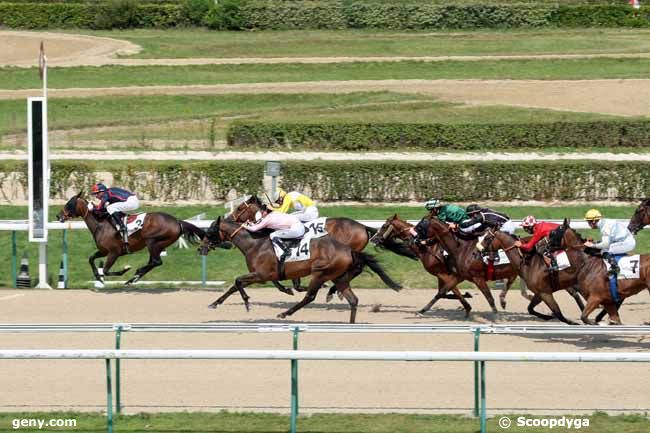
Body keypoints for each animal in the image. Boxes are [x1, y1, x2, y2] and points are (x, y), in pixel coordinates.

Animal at [60, 191, 205, 286]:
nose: (58, 216)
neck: (100, 224)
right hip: (158, 245)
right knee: (154, 262)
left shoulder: (114, 252)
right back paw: (134, 277)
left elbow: (106, 270)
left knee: (156, 261)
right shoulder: (104, 251)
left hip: (152, 242)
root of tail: (177, 221)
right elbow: (91, 259)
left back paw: (135, 274)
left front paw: (125, 269)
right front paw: (98, 277)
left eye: (69, 203)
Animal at [200, 216, 378, 320]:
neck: (254, 244)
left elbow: (237, 281)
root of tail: (347, 249)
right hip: (338, 275)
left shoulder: (261, 275)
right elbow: (234, 286)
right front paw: (215, 303)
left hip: (320, 273)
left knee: (310, 296)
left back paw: (285, 313)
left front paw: (248, 304)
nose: (200, 248)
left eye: (209, 232)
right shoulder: (260, 275)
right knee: (352, 299)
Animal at [228, 196, 410, 294]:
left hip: (350, 251)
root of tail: (362, 226)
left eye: (239, 208)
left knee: (357, 268)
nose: (229, 218)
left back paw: (332, 289)